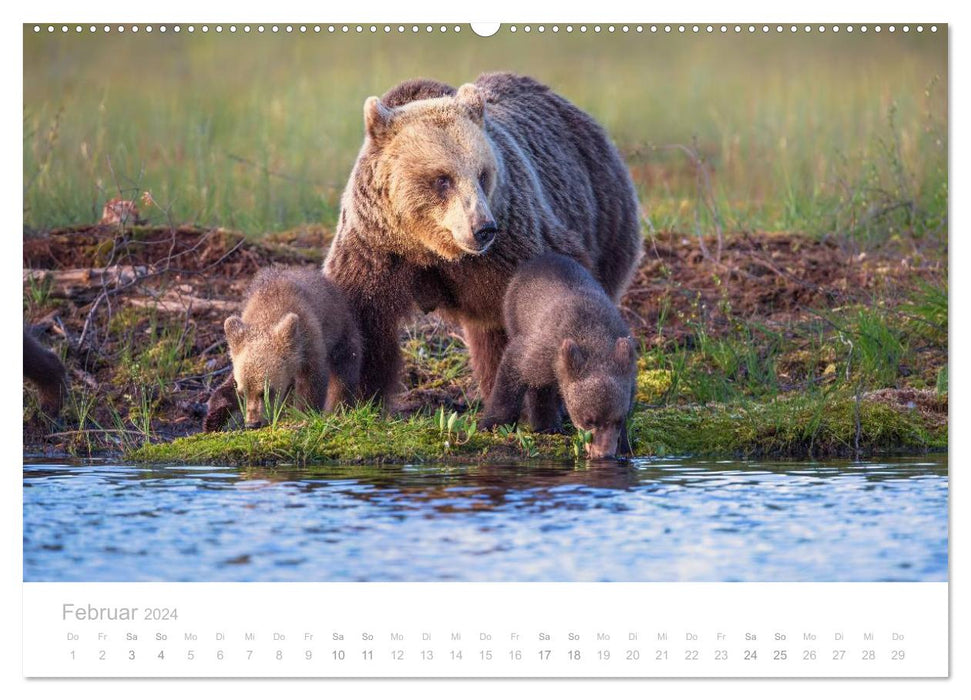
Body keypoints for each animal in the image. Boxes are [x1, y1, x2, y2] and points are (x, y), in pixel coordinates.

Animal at [326, 72, 640, 404]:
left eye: (483, 174)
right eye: (442, 179)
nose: (483, 228)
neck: (432, 249)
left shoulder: (512, 247)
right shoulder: (376, 248)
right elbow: (364, 323)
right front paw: (356, 399)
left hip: (607, 220)